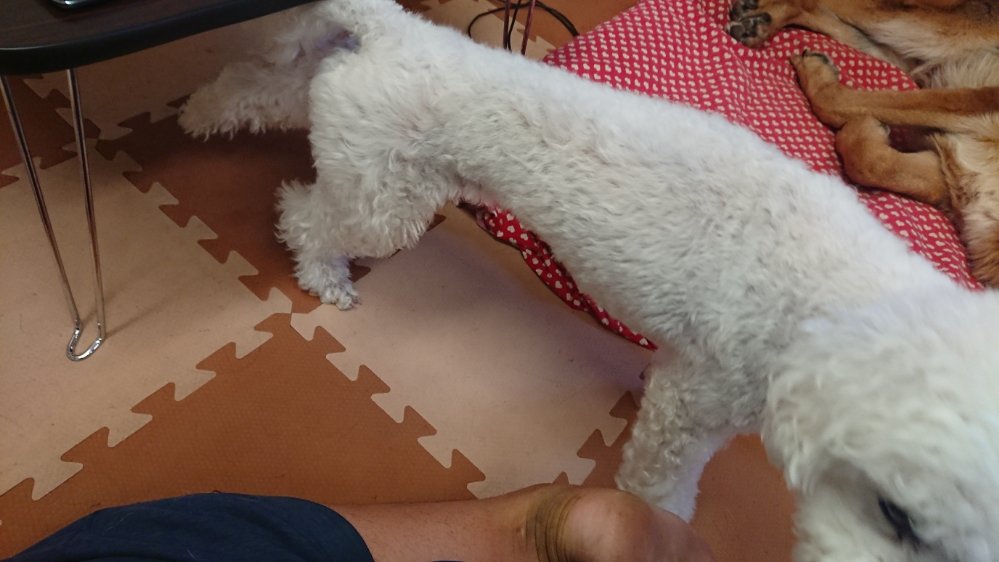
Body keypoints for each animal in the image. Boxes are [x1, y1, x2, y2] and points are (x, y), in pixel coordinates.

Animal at [728, 0, 999, 288]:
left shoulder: (959, 174)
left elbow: (873, 162)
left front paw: (866, 130)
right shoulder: (981, 103)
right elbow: (836, 103)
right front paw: (826, 87)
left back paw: (759, 23)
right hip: (938, 30)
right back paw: (761, 17)